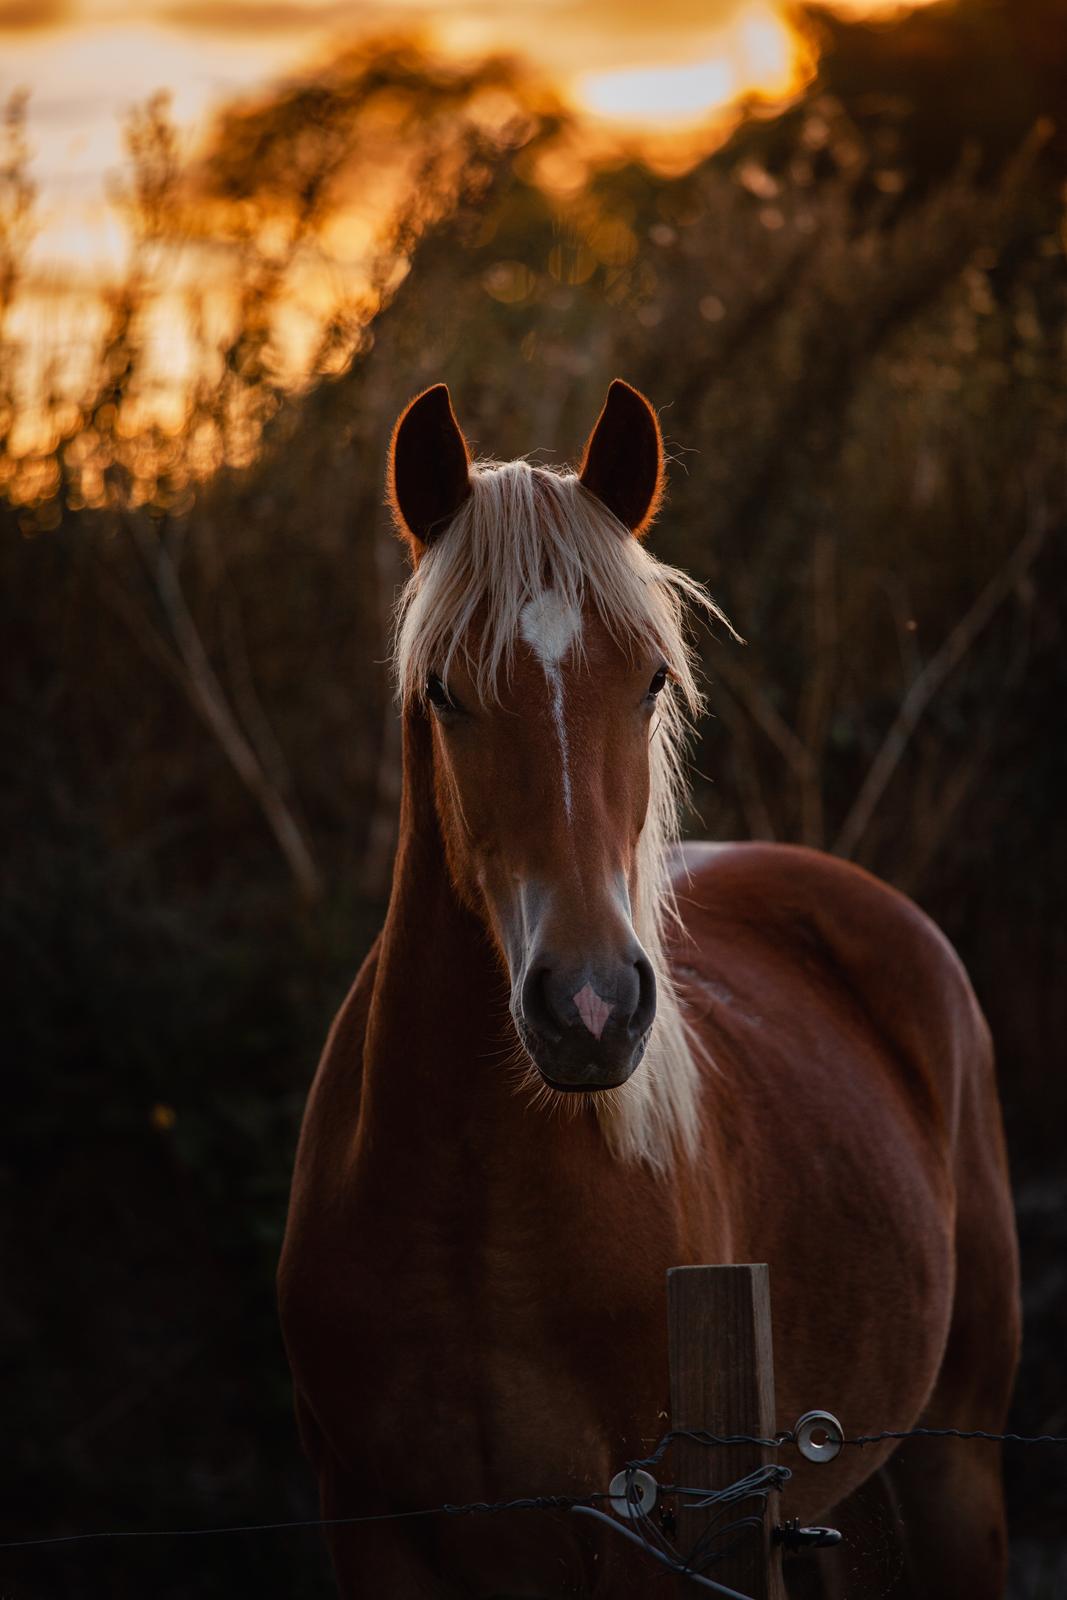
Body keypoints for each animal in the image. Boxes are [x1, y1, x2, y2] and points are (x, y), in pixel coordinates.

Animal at [275, 384, 1017, 1600]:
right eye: (443, 692)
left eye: (652, 679)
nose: (589, 1008)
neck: (473, 1228)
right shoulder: (369, 1526)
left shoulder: (644, 1531)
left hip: (953, 1469)